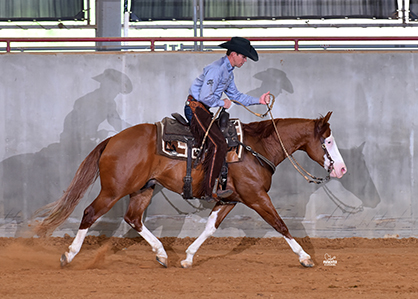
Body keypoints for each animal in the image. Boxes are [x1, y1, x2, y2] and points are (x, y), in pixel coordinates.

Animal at [32, 110, 346, 270]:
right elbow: (280, 224)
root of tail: (112, 140)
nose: (341, 169)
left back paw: (162, 254)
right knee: (89, 213)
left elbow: (209, 228)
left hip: (144, 189)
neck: (257, 148)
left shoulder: (230, 200)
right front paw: (305, 257)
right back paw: (68, 255)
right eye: (328, 141)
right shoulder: (256, 197)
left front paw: (188, 257)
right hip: (114, 190)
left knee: (133, 218)